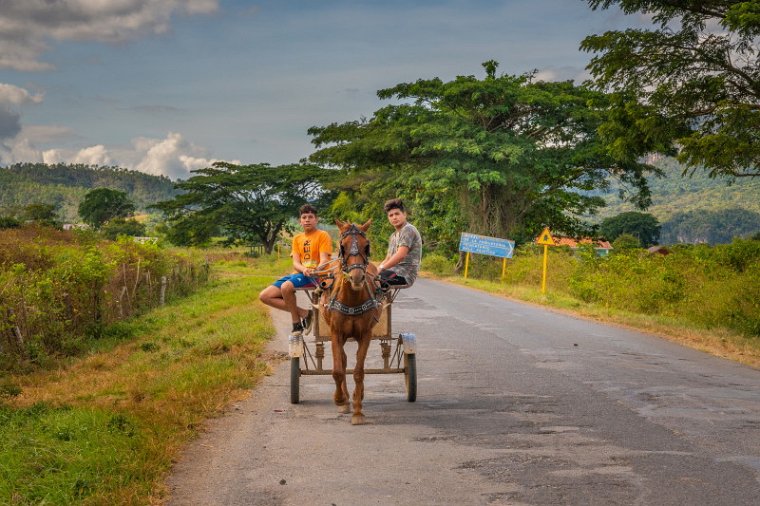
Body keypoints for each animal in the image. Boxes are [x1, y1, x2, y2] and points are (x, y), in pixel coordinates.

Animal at [320, 219, 380, 424]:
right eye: (342, 246)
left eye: (367, 246)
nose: (357, 277)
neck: (352, 300)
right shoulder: (336, 333)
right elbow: (338, 371)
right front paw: (340, 400)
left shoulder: (366, 334)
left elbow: (359, 371)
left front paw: (358, 411)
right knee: (344, 361)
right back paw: (346, 399)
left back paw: (355, 397)